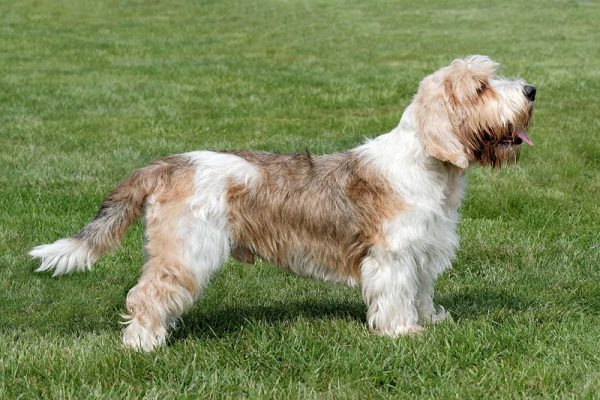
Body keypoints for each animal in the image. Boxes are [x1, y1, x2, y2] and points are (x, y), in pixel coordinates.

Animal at [29, 55, 536, 350]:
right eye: (480, 88)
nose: (531, 91)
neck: (429, 167)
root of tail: (169, 164)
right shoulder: (392, 256)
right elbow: (395, 294)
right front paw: (402, 332)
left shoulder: (424, 252)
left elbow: (421, 292)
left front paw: (431, 321)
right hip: (187, 251)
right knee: (147, 294)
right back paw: (144, 344)